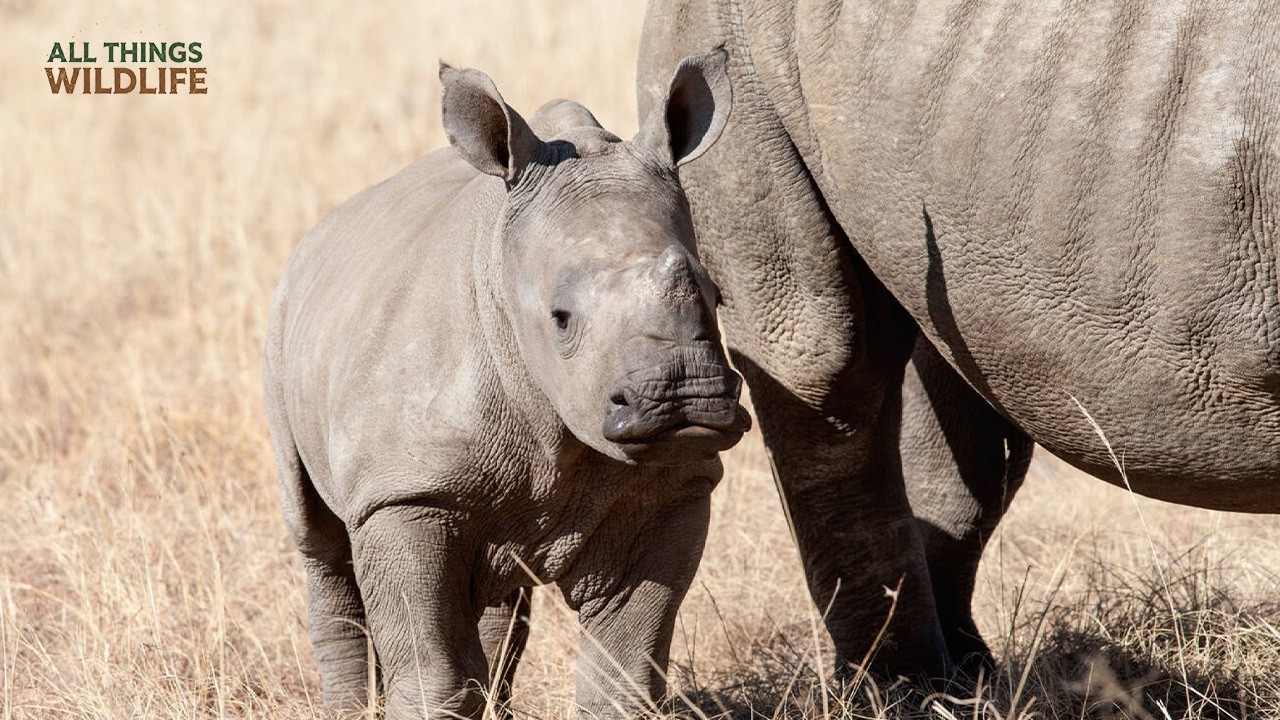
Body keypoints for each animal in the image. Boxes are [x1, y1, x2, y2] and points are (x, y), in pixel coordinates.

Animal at [263, 50, 744, 718]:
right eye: (560, 318)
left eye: (717, 298)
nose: (685, 398)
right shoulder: (403, 492)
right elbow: (432, 669)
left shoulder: (674, 484)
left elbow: (622, 674)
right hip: (281, 326)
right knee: (319, 539)